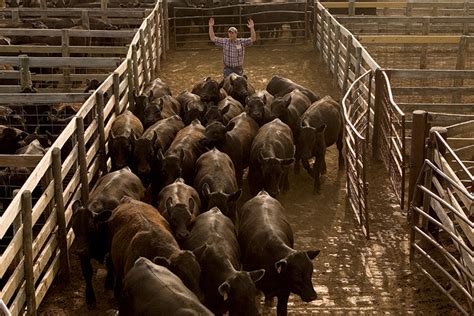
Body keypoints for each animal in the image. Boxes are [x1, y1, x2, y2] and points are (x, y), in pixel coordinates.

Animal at [71, 168, 144, 306]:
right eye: (74, 228)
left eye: (91, 228)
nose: (79, 250)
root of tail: (124, 169)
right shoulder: (84, 253)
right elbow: (87, 272)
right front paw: (90, 297)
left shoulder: (112, 248)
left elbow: (111, 264)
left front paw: (109, 284)